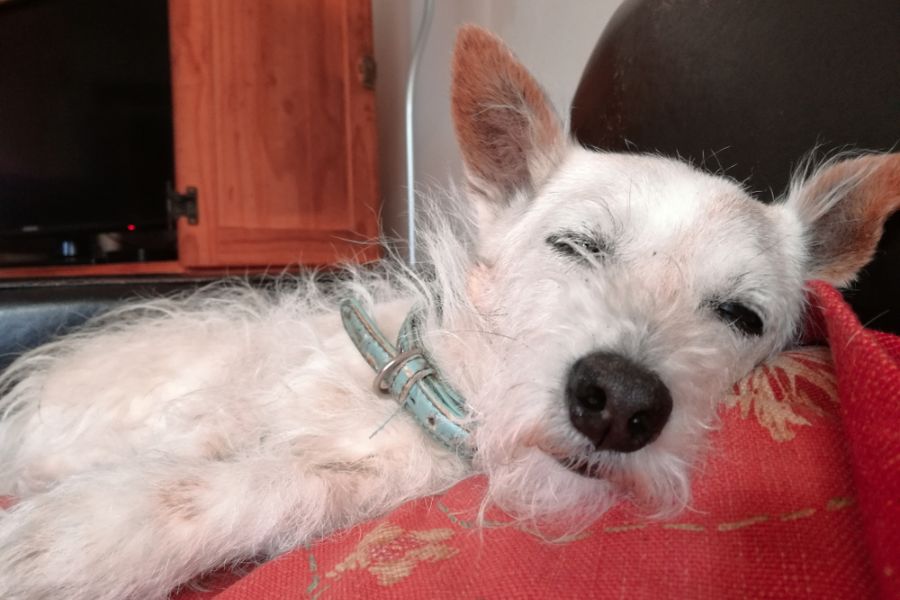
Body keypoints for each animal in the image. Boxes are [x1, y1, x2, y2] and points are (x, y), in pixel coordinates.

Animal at [1, 25, 900, 596]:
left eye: (742, 315)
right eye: (577, 246)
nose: (620, 403)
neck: (426, 393)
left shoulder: (356, 486)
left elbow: (256, 484)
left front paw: (74, 537)